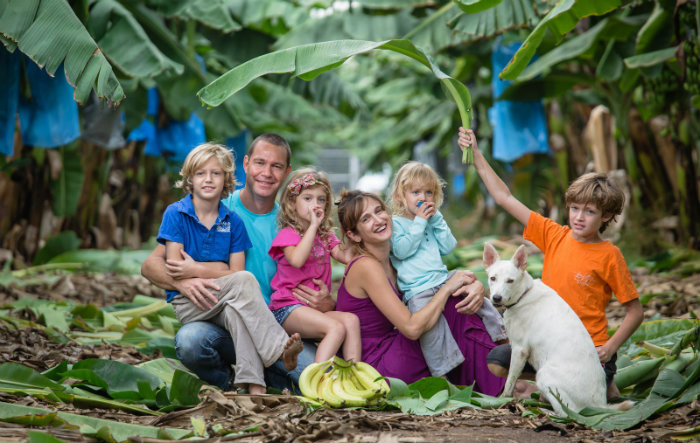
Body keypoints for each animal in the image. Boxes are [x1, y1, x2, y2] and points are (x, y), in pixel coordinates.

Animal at [484, 243, 628, 416]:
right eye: (493, 278)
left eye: (510, 281)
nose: (496, 298)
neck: (524, 294)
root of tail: (600, 404)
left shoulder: (520, 350)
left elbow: (510, 381)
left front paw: (503, 400)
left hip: (544, 376)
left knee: (569, 413)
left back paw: (545, 411)